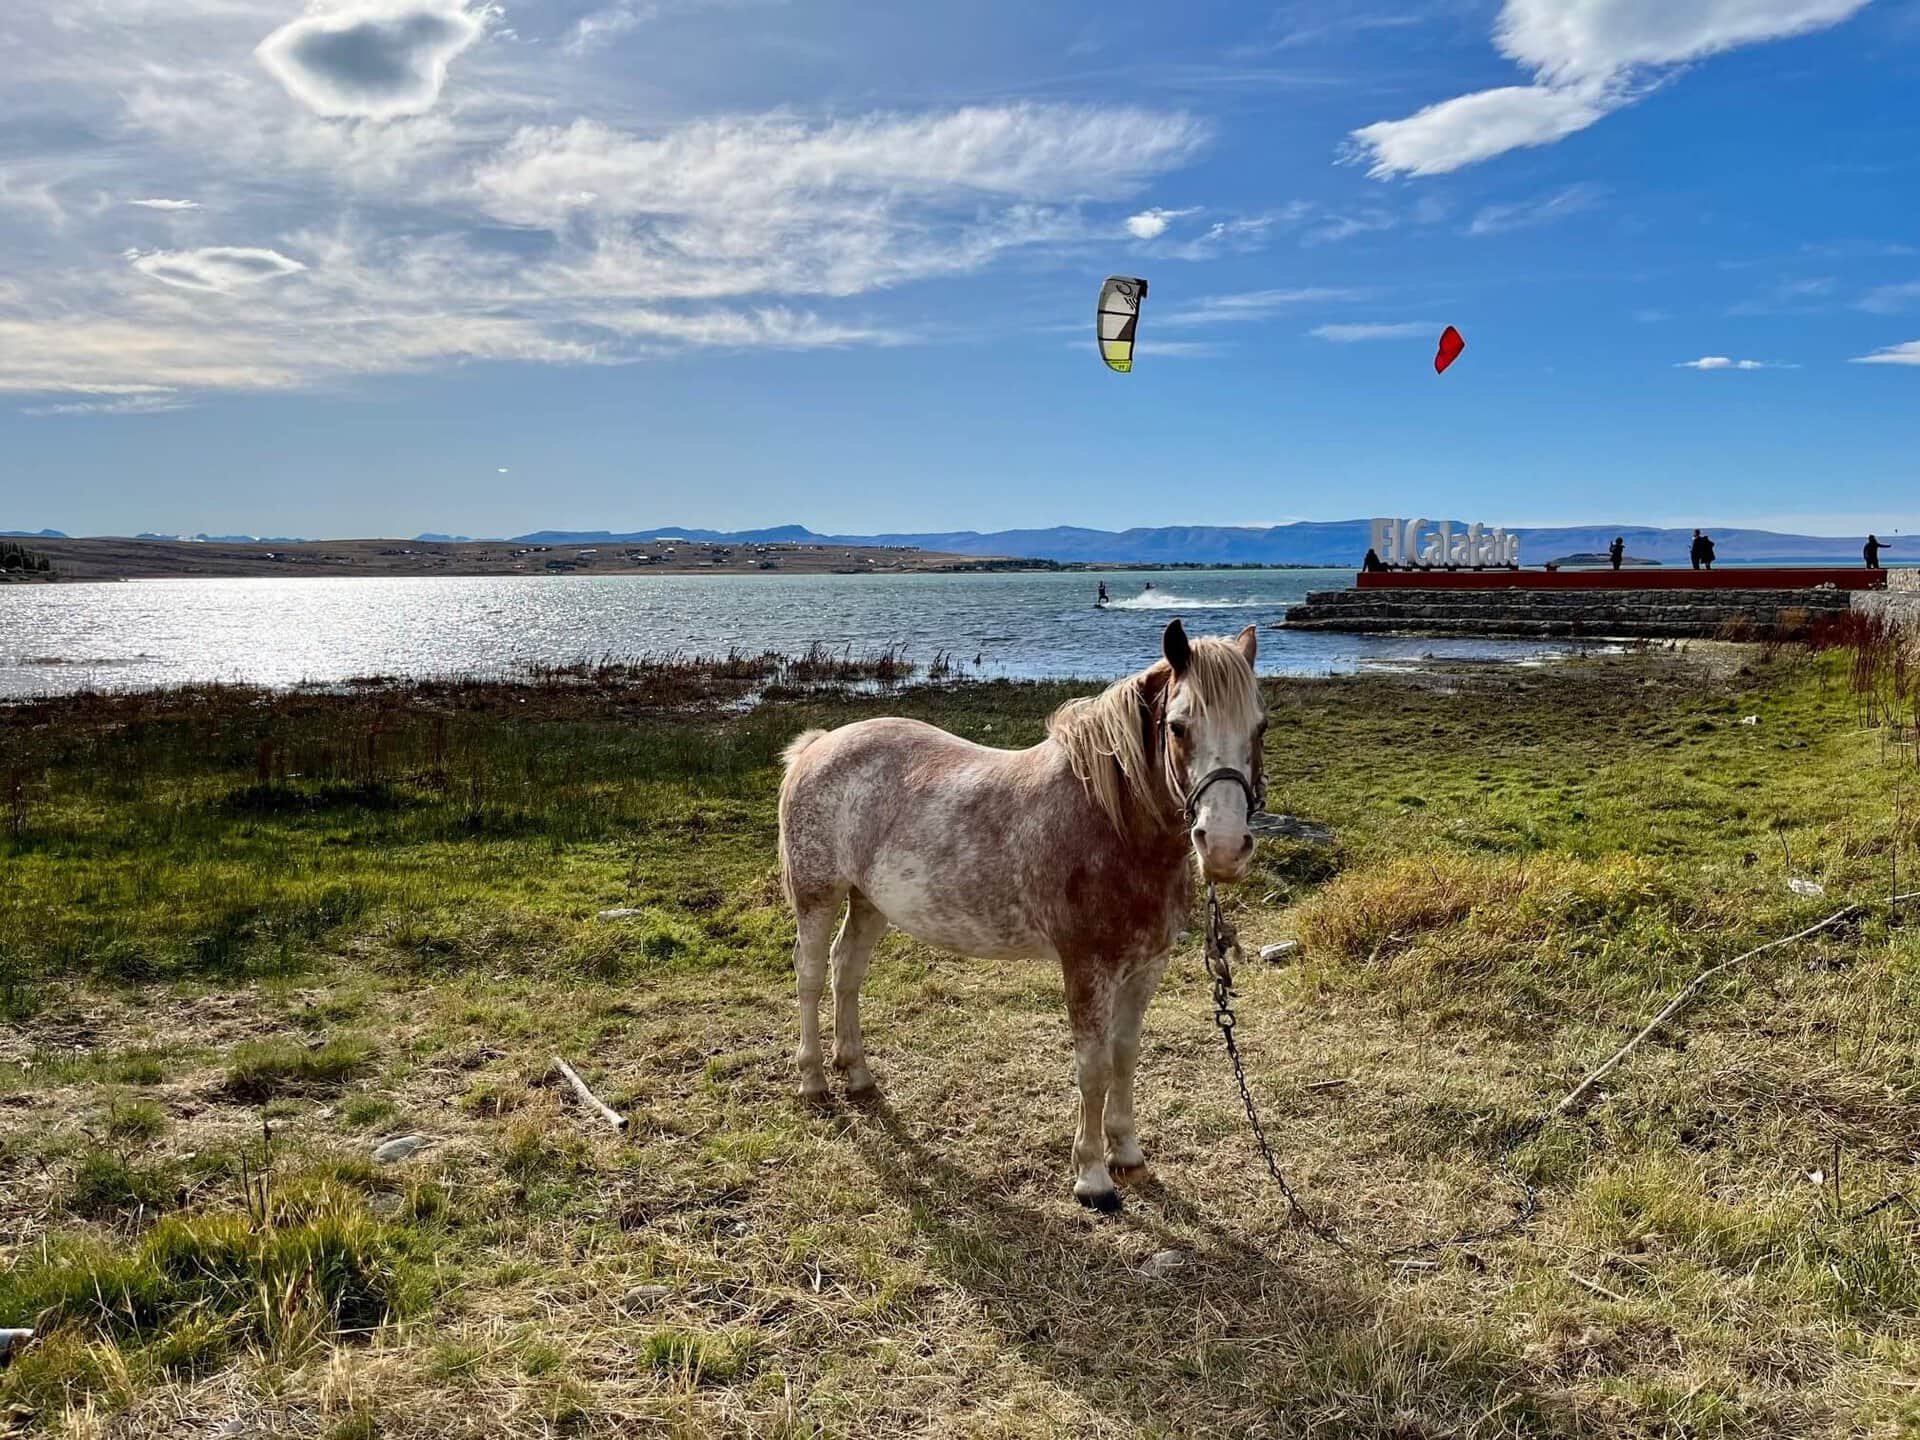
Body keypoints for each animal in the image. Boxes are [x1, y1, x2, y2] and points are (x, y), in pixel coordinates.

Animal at [771, 622, 1267, 1205]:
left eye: (1260, 726)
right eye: (1178, 727)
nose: (1225, 846)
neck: (1111, 823)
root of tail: (819, 744)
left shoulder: (1146, 967)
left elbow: (1125, 1057)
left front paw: (1127, 1154)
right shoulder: (1087, 968)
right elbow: (1094, 1068)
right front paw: (1092, 1177)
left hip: (869, 901)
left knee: (846, 971)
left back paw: (858, 1075)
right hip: (818, 895)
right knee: (810, 974)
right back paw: (813, 1081)